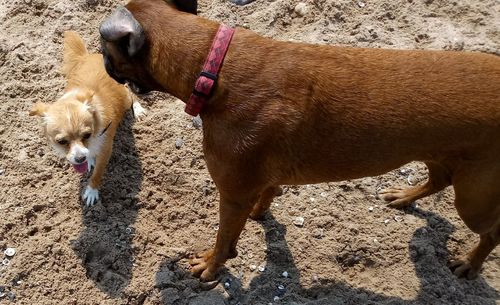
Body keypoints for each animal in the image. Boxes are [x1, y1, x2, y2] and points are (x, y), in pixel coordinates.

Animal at [30, 30, 145, 205]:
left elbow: (97, 173)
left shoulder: (105, 150)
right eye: (61, 141)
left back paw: (138, 109)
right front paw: (88, 159)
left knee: (131, 93)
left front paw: (91, 191)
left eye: (87, 134)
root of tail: (89, 55)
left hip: (124, 98)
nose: (79, 158)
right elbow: (90, 155)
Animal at [98, 0, 500, 280]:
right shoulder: (257, 179)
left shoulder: (232, 194)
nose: (103, 64)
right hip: (443, 156)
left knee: (492, 232)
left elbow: (223, 240)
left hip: (474, 199)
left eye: (104, 51)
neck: (212, 66)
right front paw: (261, 214)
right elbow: (266, 196)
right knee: (439, 178)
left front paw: (211, 267)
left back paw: (470, 263)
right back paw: (405, 196)